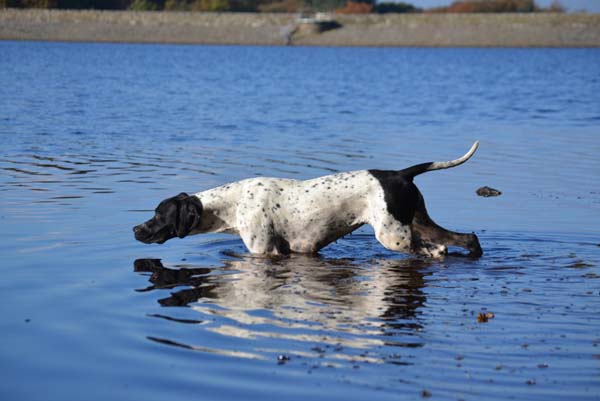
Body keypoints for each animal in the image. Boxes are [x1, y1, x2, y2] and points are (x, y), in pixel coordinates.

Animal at [132, 142, 482, 258]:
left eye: (158, 214)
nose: (135, 229)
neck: (232, 203)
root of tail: (399, 174)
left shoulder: (264, 252)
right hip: (418, 223)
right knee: (466, 239)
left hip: (395, 237)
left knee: (438, 250)